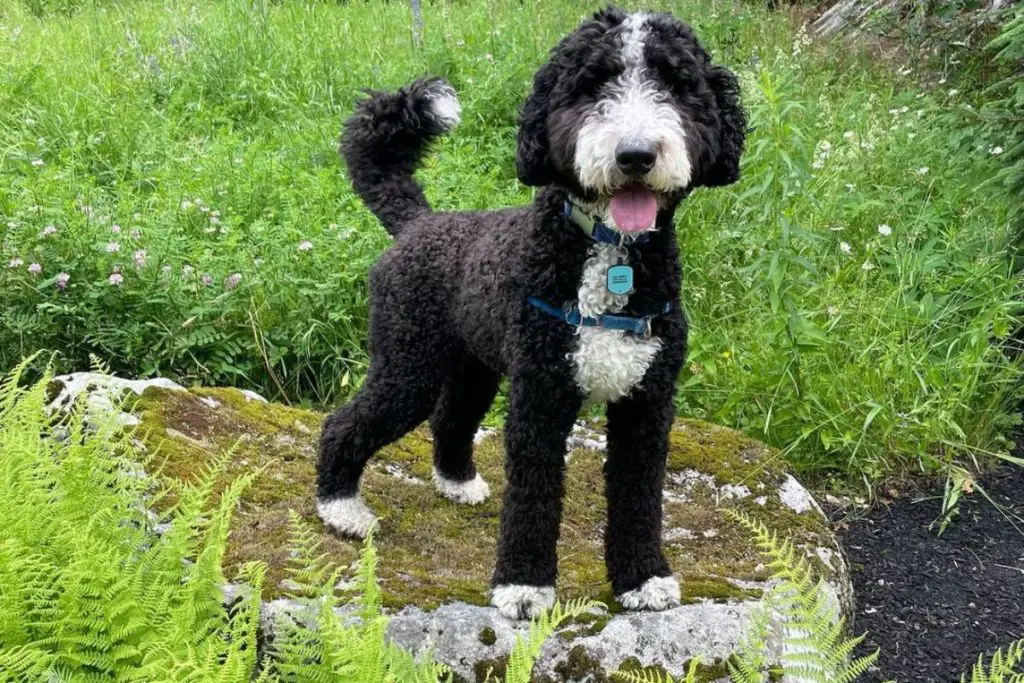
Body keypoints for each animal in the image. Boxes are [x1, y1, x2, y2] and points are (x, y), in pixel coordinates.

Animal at [313, 6, 745, 626]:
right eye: (591, 86)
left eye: (676, 85)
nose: (635, 154)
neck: (610, 253)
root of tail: (420, 222)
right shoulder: (541, 396)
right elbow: (534, 496)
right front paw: (523, 585)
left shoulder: (647, 402)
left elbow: (640, 495)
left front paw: (643, 577)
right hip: (408, 364)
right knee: (345, 423)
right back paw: (340, 506)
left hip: (474, 367)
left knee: (450, 418)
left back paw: (456, 482)